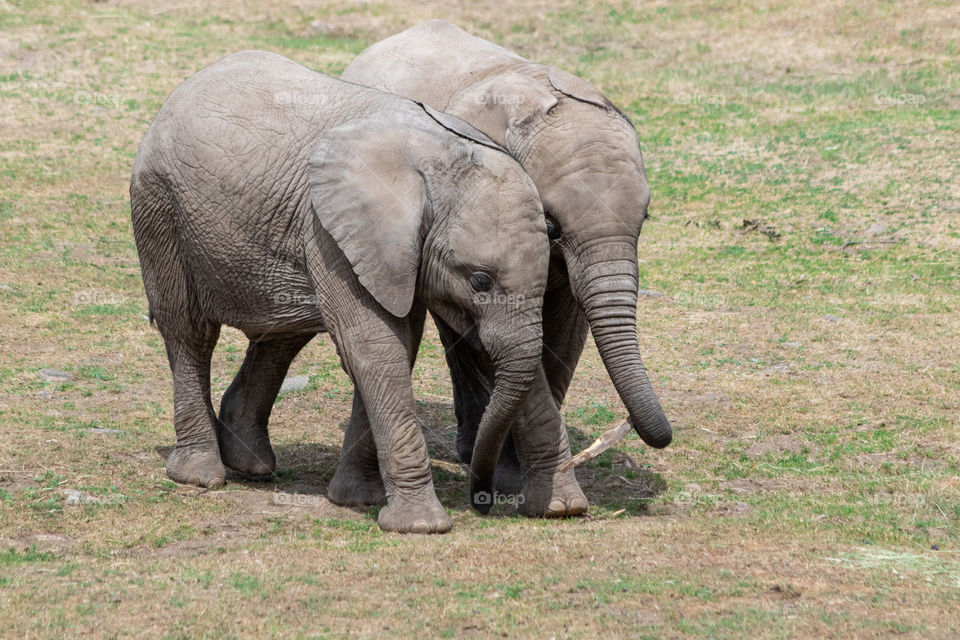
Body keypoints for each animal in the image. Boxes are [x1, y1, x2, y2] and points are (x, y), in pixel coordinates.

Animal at [130, 50, 552, 533]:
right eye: (480, 280)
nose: (483, 500)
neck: (439, 159)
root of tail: (179, 91)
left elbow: (397, 346)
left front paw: (357, 499)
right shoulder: (332, 232)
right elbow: (375, 347)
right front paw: (420, 527)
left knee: (280, 334)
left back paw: (250, 463)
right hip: (159, 206)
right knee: (190, 331)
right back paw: (201, 475)